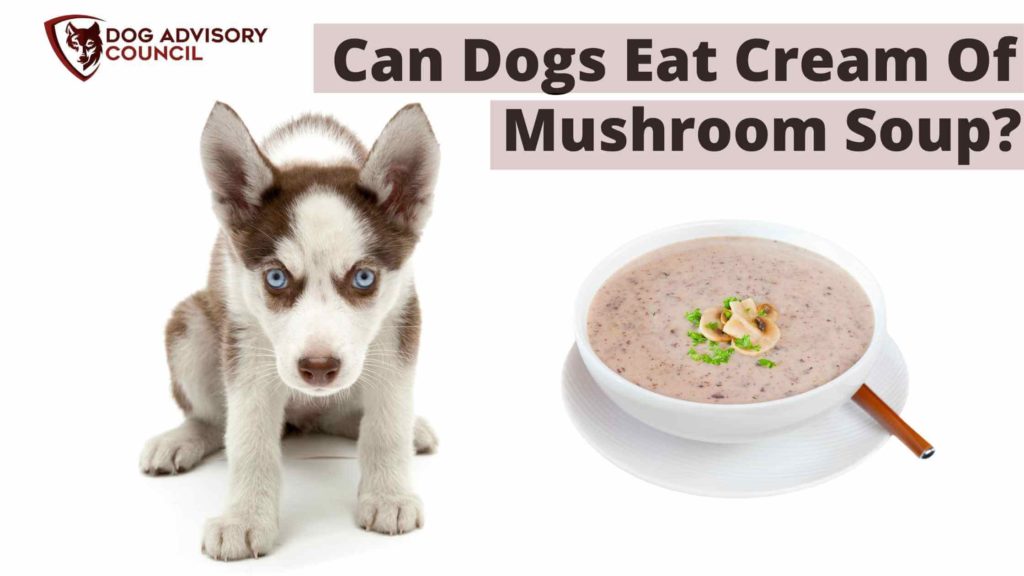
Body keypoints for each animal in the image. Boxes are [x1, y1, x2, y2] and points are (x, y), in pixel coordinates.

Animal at [138, 100, 438, 557]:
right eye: (276, 278)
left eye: (363, 278)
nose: (319, 368)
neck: (315, 154)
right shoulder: (246, 340)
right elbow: (248, 440)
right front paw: (244, 519)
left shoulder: (398, 321)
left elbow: (386, 423)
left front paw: (389, 496)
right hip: (190, 325)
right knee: (213, 418)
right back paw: (182, 438)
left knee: (347, 417)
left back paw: (403, 429)